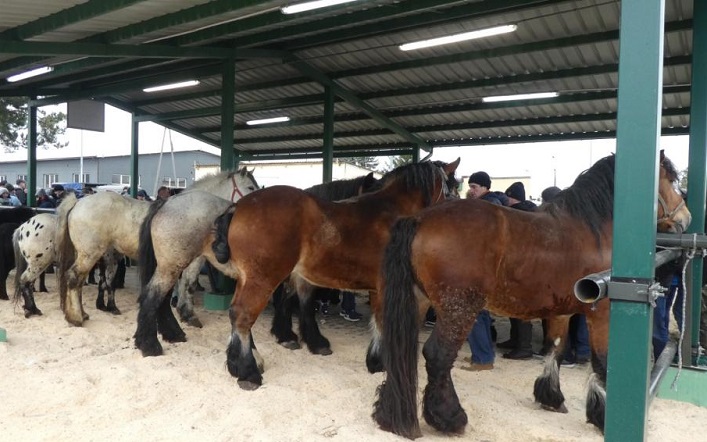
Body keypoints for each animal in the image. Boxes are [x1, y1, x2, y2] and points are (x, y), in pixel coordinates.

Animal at [136, 161, 462, 388]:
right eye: (452, 187)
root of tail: (237, 207)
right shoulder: (382, 286)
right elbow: (380, 321)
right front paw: (377, 361)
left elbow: (305, 304)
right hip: (242, 275)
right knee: (232, 314)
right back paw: (243, 369)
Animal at [374, 152, 696, 438]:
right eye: (670, 179)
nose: (686, 217)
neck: (591, 229)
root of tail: (419, 219)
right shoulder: (601, 312)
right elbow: (602, 363)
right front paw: (602, 416)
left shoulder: (562, 310)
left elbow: (555, 348)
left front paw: (550, 396)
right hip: (459, 309)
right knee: (438, 355)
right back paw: (449, 418)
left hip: (418, 304)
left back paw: (391, 416)